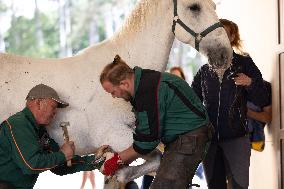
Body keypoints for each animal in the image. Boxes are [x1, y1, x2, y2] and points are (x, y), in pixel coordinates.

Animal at [0, 0, 231, 187]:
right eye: (194, 7)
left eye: (214, 6)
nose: (224, 54)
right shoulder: (116, 134)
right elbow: (156, 158)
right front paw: (118, 173)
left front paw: (116, 173)